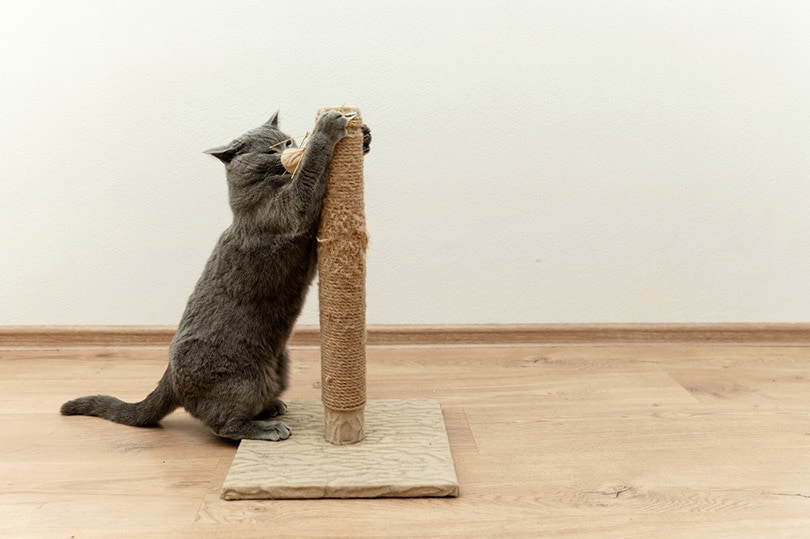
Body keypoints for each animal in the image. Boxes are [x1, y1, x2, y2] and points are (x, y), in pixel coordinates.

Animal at [61, 110, 370, 442]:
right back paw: (268, 427)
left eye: (287, 141)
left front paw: (364, 136)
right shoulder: (288, 211)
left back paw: (272, 408)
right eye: (270, 150)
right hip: (243, 379)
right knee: (223, 424)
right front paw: (327, 128)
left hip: (280, 366)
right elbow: (308, 175)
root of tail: (169, 377)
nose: (288, 149)